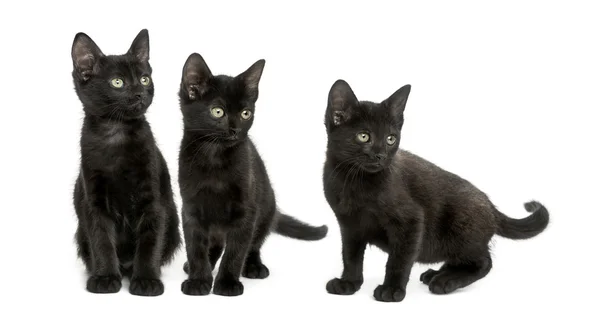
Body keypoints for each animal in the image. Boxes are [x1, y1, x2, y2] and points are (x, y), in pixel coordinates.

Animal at [71, 29, 180, 296]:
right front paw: (105, 277)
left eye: (144, 79)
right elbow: (101, 239)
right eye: (117, 82)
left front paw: (147, 280)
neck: (116, 134)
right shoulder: (94, 201)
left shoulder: (154, 200)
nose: (140, 93)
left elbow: (150, 241)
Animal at [178, 52, 328, 296]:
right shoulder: (190, 207)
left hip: (266, 207)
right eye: (217, 111)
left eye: (245, 113)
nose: (236, 129)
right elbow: (195, 247)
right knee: (216, 244)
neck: (214, 157)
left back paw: (254, 267)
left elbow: (237, 250)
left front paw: (227, 283)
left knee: (254, 244)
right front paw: (198, 280)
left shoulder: (246, 210)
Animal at [324, 79, 548, 302]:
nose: (381, 155)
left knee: (483, 262)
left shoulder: (411, 220)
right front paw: (348, 283)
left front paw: (392, 289)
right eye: (363, 136)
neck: (354, 182)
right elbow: (350, 256)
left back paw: (446, 281)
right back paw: (436, 274)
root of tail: (491, 206)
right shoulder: (349, 225)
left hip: (461, 231)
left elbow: (398, 260)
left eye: (390, 139)